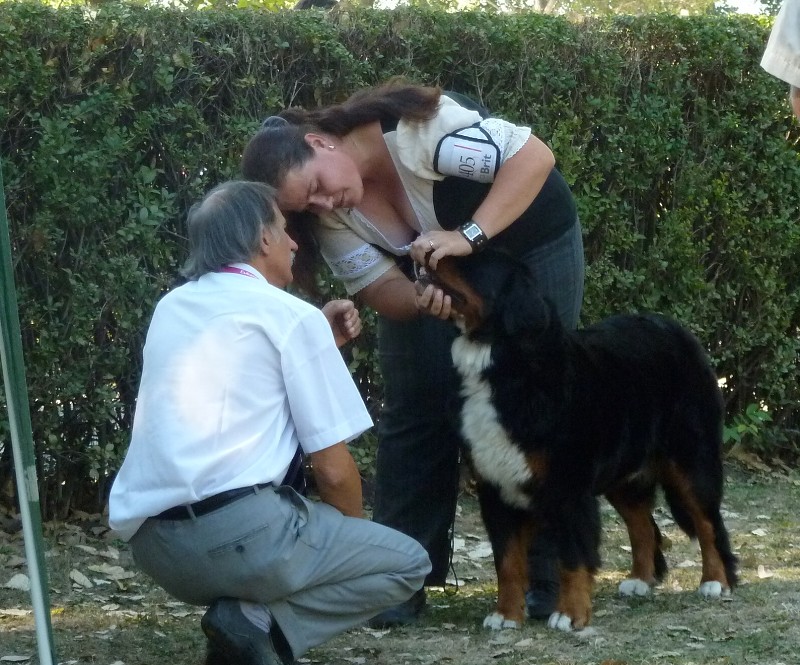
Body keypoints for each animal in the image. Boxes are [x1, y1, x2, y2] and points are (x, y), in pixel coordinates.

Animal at [418, 250, 736, 632]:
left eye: (473, 261)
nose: (426, 250)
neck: (507, 365)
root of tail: (681, 331)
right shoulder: (495, 486)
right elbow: (507, 562)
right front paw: (506, 615)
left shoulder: (567, 488)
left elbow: (572, 557)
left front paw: (569, 614)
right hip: (624, 475)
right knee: (643, 526)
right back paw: (640, 580)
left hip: (691, 461)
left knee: (708, 523)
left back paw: (714, 581)